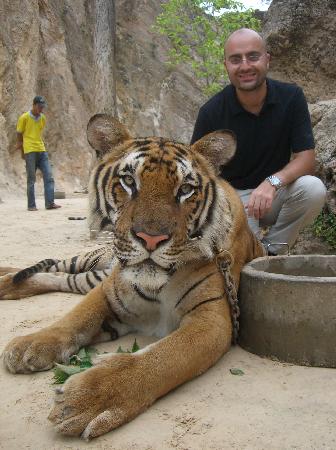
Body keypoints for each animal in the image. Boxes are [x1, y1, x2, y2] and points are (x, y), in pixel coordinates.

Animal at [2, 114, 266, 442]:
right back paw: (5, 280)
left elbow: (162, 358)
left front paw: (88, 399)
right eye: (129, 182)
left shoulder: (212, 320)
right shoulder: (109, 290)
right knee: (60, 270)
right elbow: (76, 317)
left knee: (61, 278)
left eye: (185, 189)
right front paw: (32, 344)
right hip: (93, 264)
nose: (151, 239)